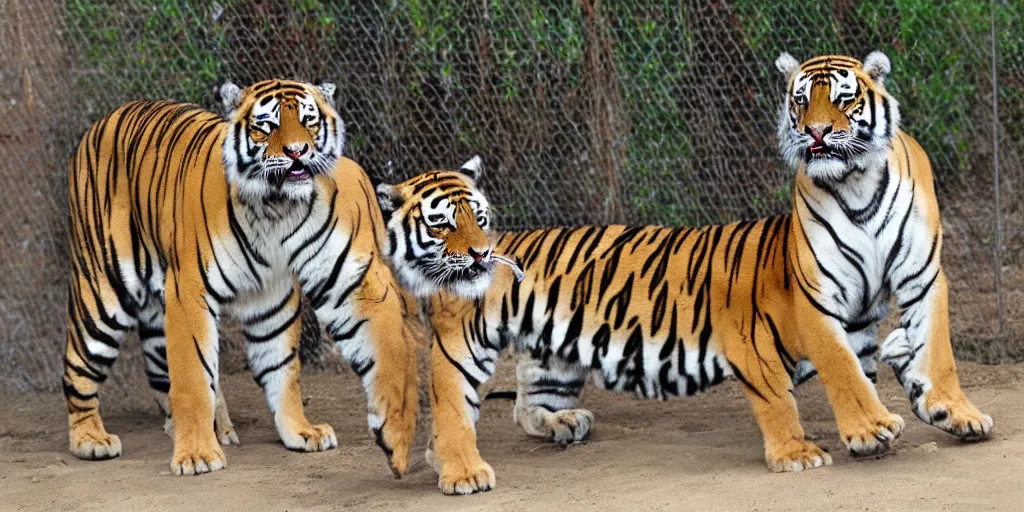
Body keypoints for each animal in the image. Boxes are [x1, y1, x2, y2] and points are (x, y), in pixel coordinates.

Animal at [64, 78, 417, 475]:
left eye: (308, 121)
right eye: (267, 126)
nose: (297, 152)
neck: (277, 208)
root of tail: (105, 120)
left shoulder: (277, 295)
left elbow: (283, 369)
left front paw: (302, 431)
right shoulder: (190, 291)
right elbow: (192, 377)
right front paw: (197, 454)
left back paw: (213, 427)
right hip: (102, 295)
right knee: (79, 367)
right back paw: (91, 439)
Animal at [376, 51, 991, 495]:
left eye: (842, 98)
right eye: (799, 102)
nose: (815, 133)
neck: (857, 183)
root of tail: (484, 242)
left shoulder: (921, 277)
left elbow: (932, 352)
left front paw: (953, 412)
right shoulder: (795, 311)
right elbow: (817, 380)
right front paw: (834, 441)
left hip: (555, 356)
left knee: (527, 403)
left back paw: (561, 426)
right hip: (465, 343)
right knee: (452, 405)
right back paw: (459, 471)